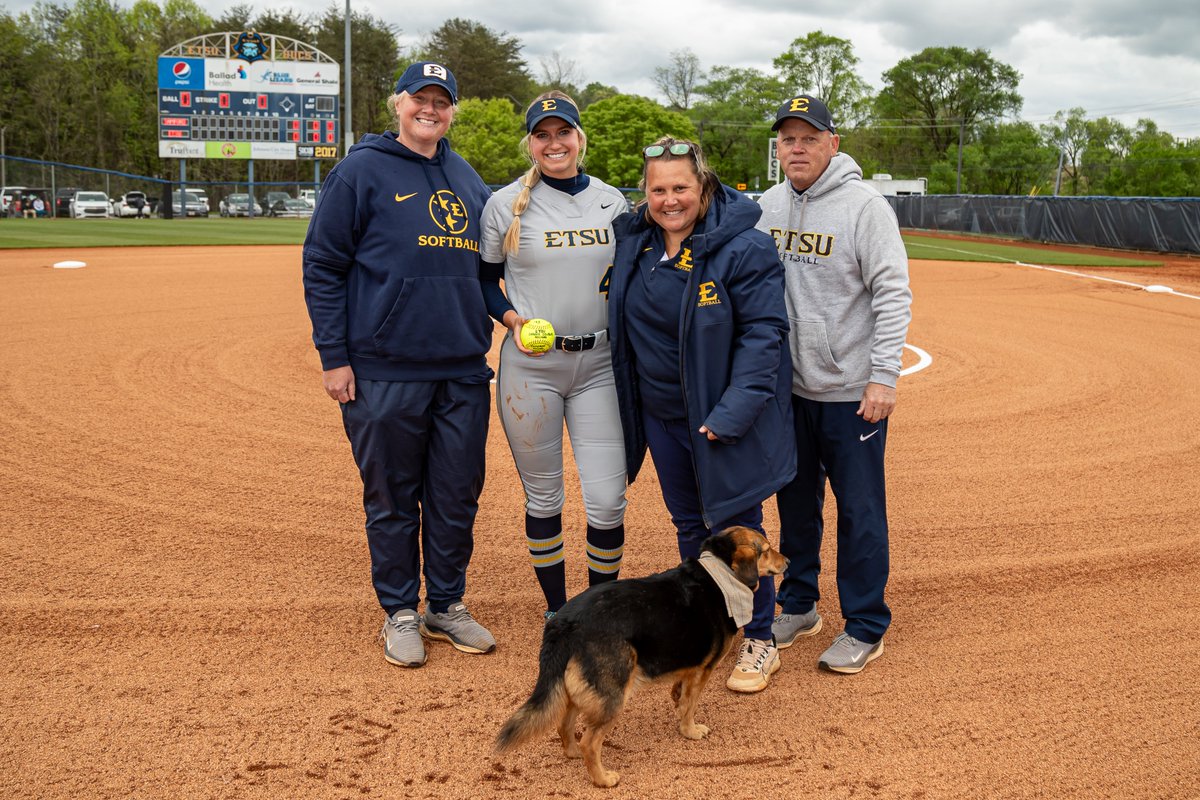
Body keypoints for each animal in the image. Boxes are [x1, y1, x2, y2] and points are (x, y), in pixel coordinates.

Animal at [494, 525, 787, 786]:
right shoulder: (703, 670)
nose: (788, 561)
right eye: (766, 550)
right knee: (590, 741)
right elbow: (690, 705)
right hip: (612, 693)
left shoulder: (687, 665)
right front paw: (690, 731)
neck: (721, 574)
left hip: (579, 688)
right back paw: (602, 779)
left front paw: (677, 702)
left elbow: (680, 692)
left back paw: (574, 752)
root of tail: (563, 623)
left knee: (564, 725)